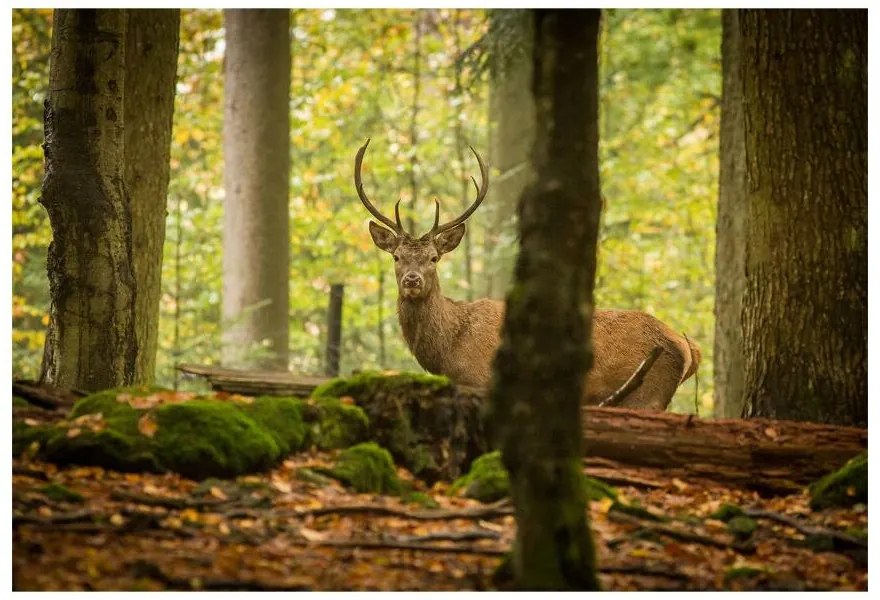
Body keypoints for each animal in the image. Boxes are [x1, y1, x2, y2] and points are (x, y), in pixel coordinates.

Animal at [354, 139, 696, 412]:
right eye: (397, 257)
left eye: (434, 258)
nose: (412, 280)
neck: (449, 350)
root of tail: (688, 347)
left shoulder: (481, 383)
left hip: (647, 395)